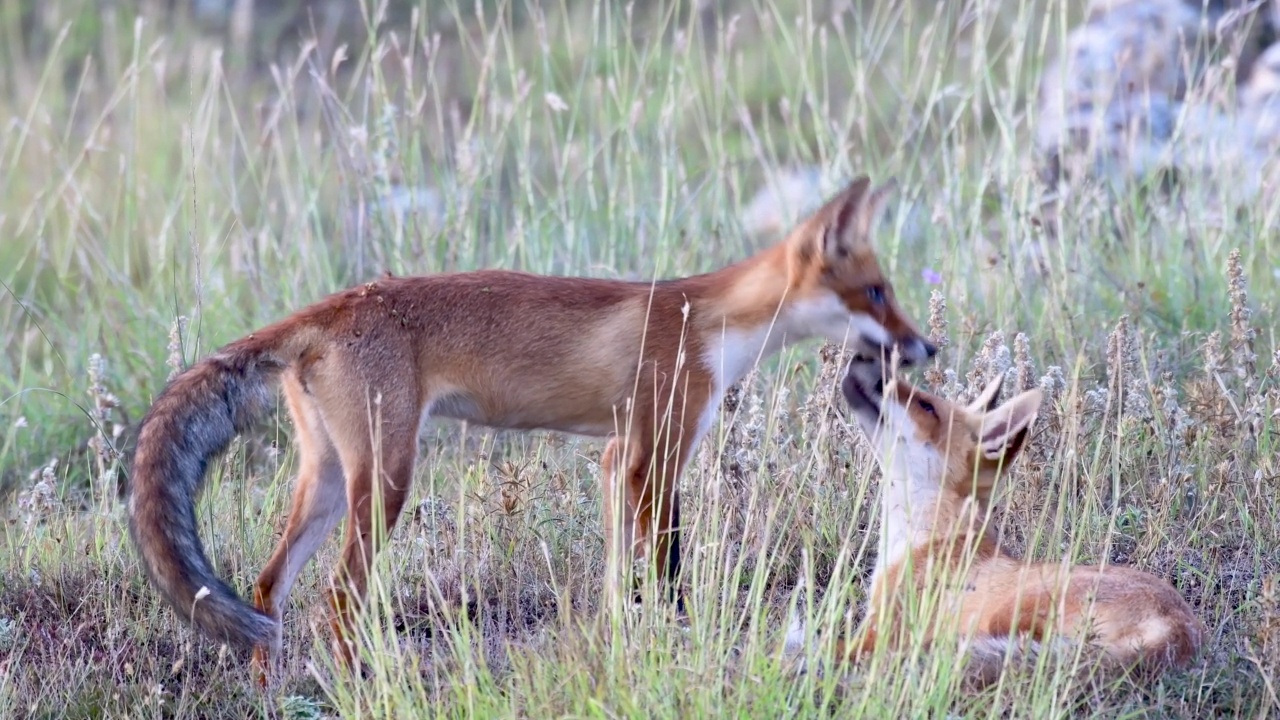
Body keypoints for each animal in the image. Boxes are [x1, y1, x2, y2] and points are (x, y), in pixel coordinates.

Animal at [124, 174, 936, 671]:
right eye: (876, 291)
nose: (929, 346)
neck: (710, 320)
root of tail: (330, 306)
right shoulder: (656, 454)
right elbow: (667, 572)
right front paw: (676, 643)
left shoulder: (616, 458)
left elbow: (618, 581)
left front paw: (620, 647)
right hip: (385, 482)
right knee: (337, 599)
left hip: (328, 480)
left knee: (267, 588)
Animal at [798, 361, 1198, 681]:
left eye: (927, 406)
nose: (865, 361)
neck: (926, 537)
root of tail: (1180, 629)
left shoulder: (881, 633)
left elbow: (817, 647)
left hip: (1008, 614)